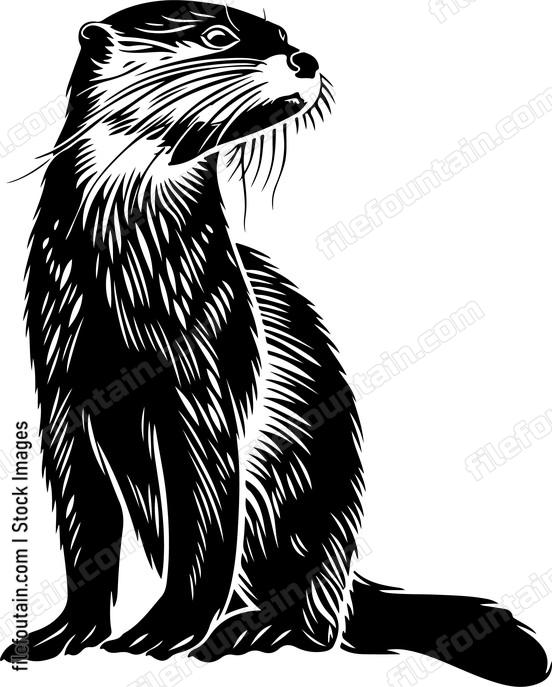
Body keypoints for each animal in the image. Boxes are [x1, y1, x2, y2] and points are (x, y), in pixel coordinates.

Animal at [2, 3, 548, 684]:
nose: (305, 58)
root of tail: (347, 572)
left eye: (284, 34)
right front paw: (59, 636)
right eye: (218, 34)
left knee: (316, 623)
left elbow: (205, 525)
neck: (126, 285)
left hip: (309, 512)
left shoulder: (210, 374)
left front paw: (166, 633)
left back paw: (243, 630)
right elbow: (86, 535)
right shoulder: (62, 386)